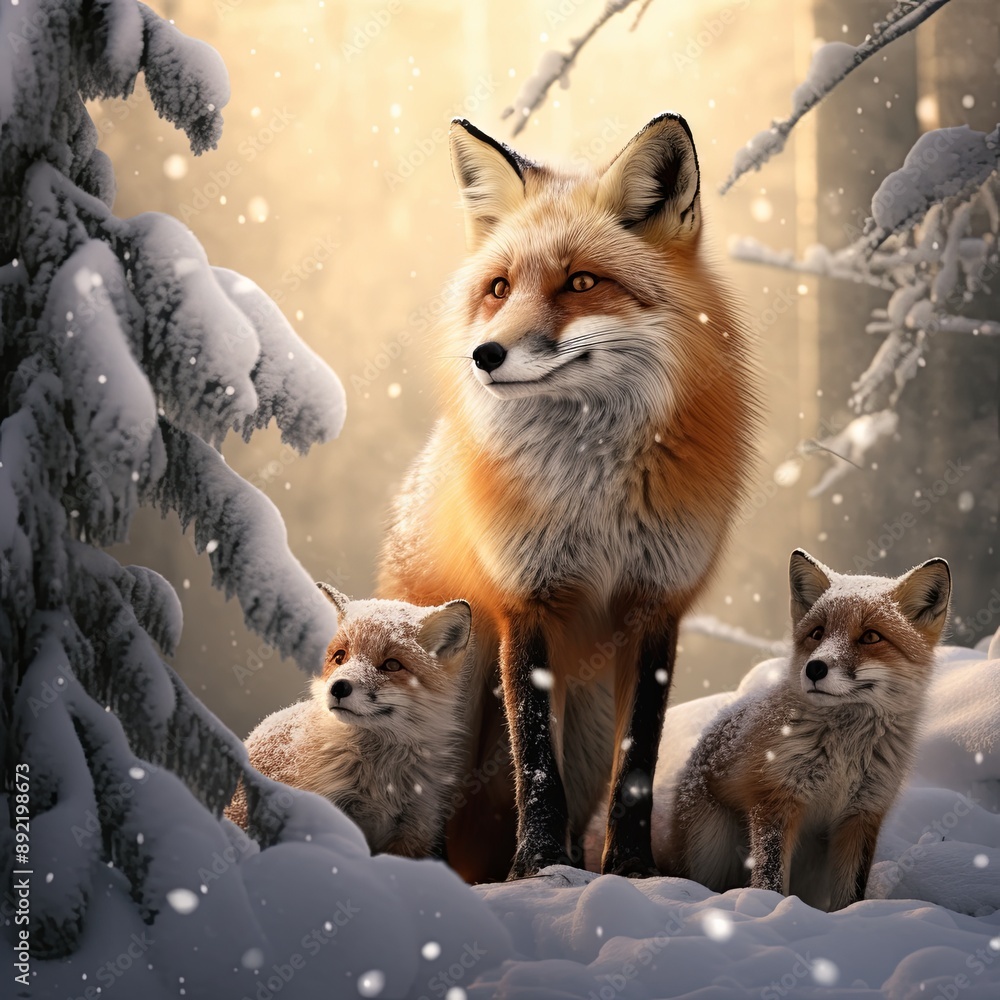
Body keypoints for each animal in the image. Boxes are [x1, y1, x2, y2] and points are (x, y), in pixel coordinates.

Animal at [377, 113, 758, 882]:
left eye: (581, 282)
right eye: (498, 288)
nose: (485, 355)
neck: (593, 493)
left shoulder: (656, 601)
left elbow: (637, 761)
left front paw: (631, 869)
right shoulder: (524, 598)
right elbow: (532, 754)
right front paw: (539, 868)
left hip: (584, 722)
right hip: (455, 692)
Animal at [663, 549, 951, 911]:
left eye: (871, 636)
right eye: (817, 633)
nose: (814, 668)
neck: (843, 753)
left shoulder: (863, 813)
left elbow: (850, 894)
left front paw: (850, 918)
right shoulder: (775, 798)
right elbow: (770, 880)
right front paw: (769, 910)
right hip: (710, 849)